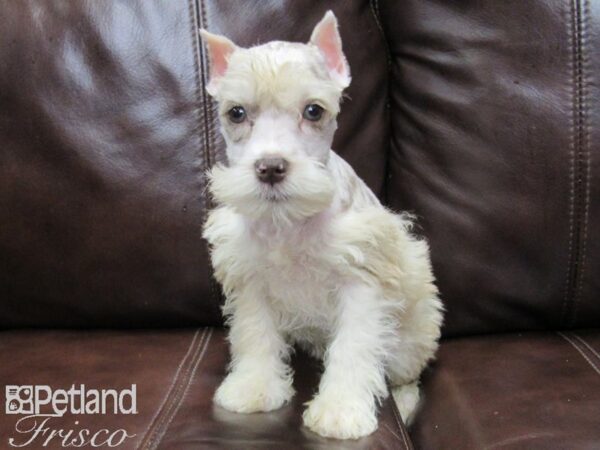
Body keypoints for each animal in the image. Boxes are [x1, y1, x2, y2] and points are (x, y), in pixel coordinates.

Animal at [200, 9, 440, 440]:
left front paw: (340, 410)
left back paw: (404, 404)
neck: (289, 223)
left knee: (405, 378)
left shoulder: (362, 285)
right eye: (236, 113)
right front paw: (253, 387)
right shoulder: (252, 283)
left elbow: (353, 349)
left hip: (408, 343)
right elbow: (255, 336)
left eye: (314, 111)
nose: (270, 167)